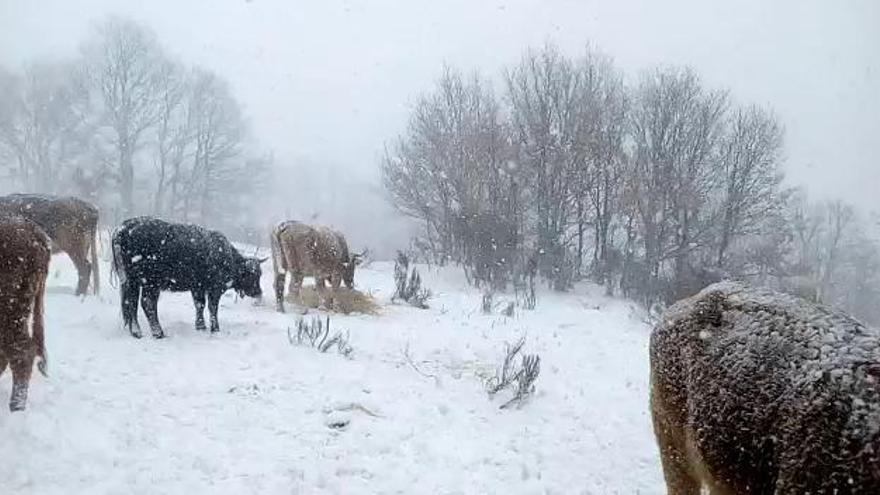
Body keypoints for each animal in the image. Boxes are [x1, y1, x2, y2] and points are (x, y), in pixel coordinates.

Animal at [109, 218, 262, 340]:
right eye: (253, 274)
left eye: (259, 273)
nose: (259, 292)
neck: (227, 257)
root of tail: (125, 226)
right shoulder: (215, 288)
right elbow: (213, 308)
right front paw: (215, 329)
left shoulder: (197, 287)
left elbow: (200, 305)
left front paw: (200, 326)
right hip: (151, 282)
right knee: (147, 303)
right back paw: (158, 333)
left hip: (132, 281)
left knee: (131, 303)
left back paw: (136, 332)